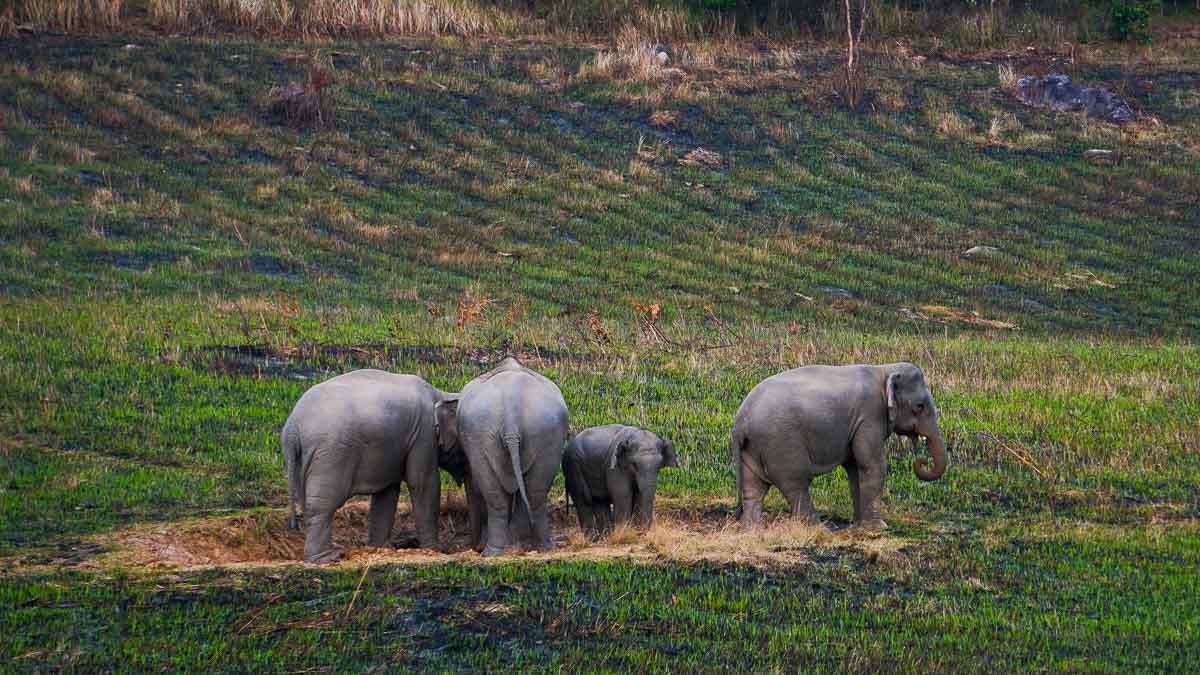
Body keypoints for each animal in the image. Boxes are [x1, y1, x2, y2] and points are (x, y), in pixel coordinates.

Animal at [280, 367, 463, 562]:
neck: (441, 393)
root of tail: (292, 427)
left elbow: (387, 493)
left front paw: (379, 548)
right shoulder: (423, 434)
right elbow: (424, 483)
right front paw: (436, 550)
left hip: (301, 458)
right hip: (331, 452)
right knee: (322, 503)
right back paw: (327, 558)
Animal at [458, 355, 571, 554]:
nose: (474, 547)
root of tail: (512, 411)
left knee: (499, 493)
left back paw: (492, 553)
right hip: (544, 431)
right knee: (534, 492)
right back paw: (541, 548)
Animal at [729, 360, 945, 528]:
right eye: (919, 406)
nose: (921, 460)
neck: (885, 369)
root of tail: (740, 422)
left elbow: (854, 468)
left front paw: (859, 525)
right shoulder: (870, 415)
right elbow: (872, 464)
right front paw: (878, 527)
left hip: (753, 448)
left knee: (754, 488)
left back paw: (752, 529)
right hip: (781, 442)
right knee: (796, 483)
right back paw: (818, 528)